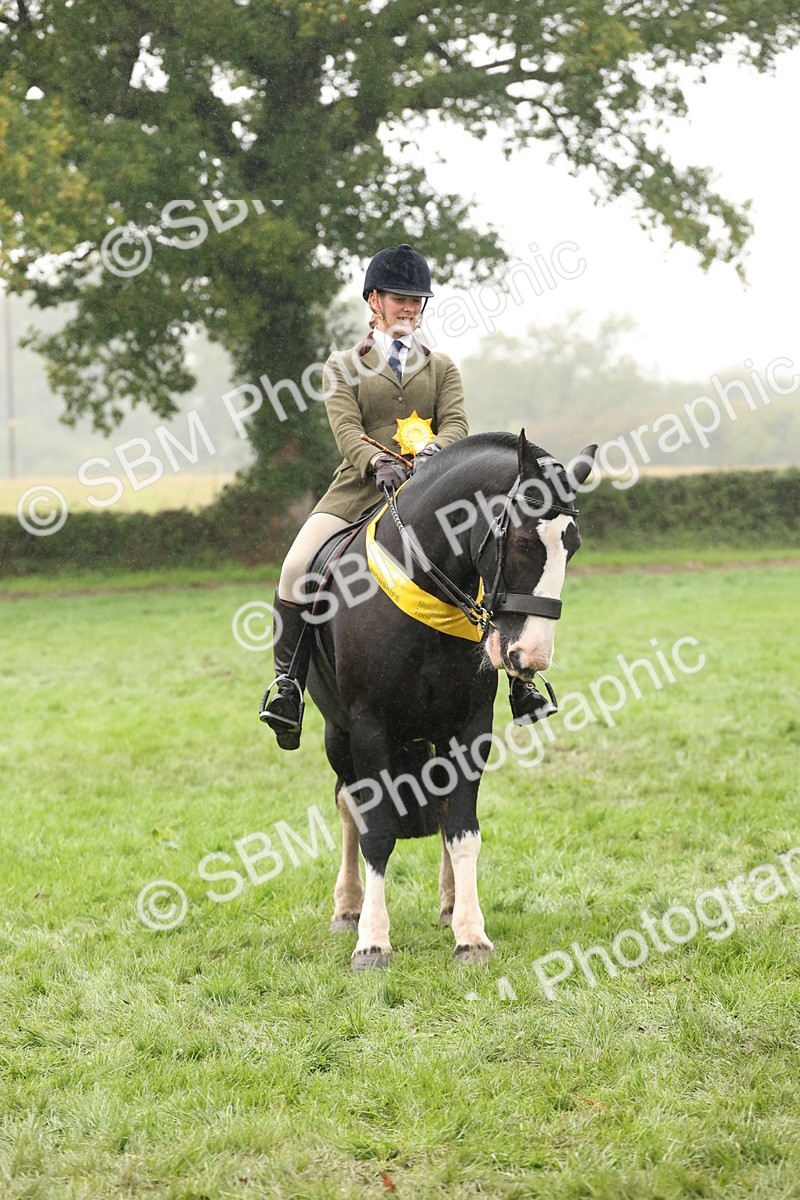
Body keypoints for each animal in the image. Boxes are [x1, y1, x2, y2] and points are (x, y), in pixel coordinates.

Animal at [304, 430, 596, 970]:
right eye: (525, 542)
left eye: (573, 547)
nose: (531, 656)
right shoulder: (369, 728)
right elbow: (377, 831)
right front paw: (372, 942)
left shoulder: (469, 727)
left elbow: (463, 830)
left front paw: (471, 933)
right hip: (337, 734)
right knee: (348, 808)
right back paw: (348, 908)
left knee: (439, 810)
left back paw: (447, 902)